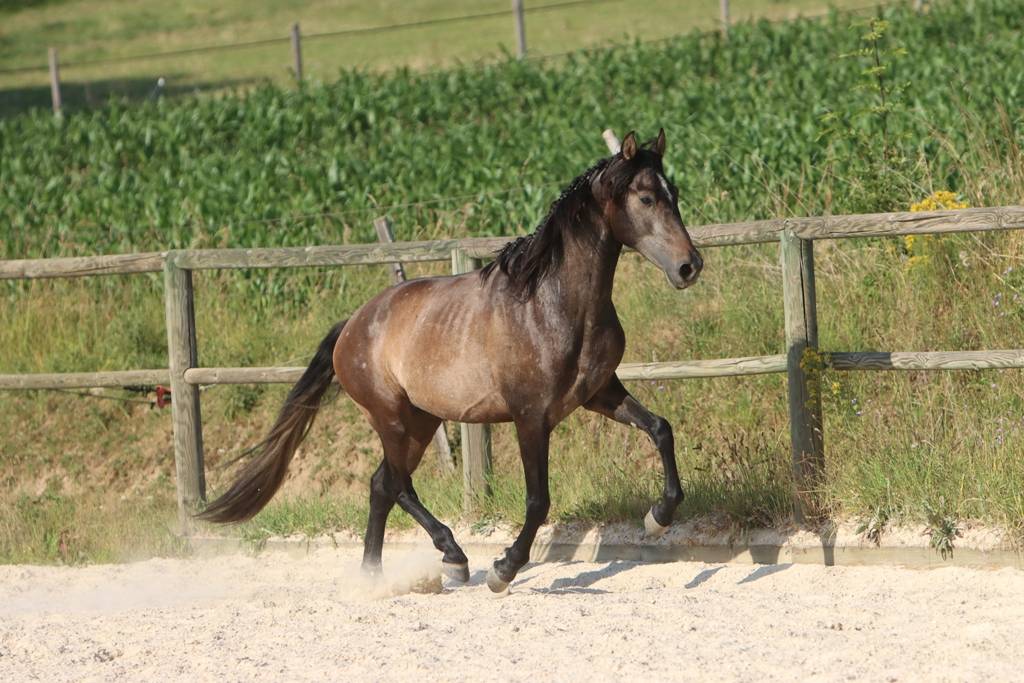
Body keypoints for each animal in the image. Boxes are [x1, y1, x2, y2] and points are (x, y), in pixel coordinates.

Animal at [197, 129, 703, 593]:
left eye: (674, 194)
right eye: (645, 197)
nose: (689, 266)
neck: (553, 304)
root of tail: (353, 324)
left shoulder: (598, 392)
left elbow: (661, 429)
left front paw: (658, 516)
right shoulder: (530, 416)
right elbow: (538, 500)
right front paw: (503, 570)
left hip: (422, 420)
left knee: (382, 485)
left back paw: (388, 574)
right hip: (392, 417)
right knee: (394, 484)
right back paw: (444, 561)